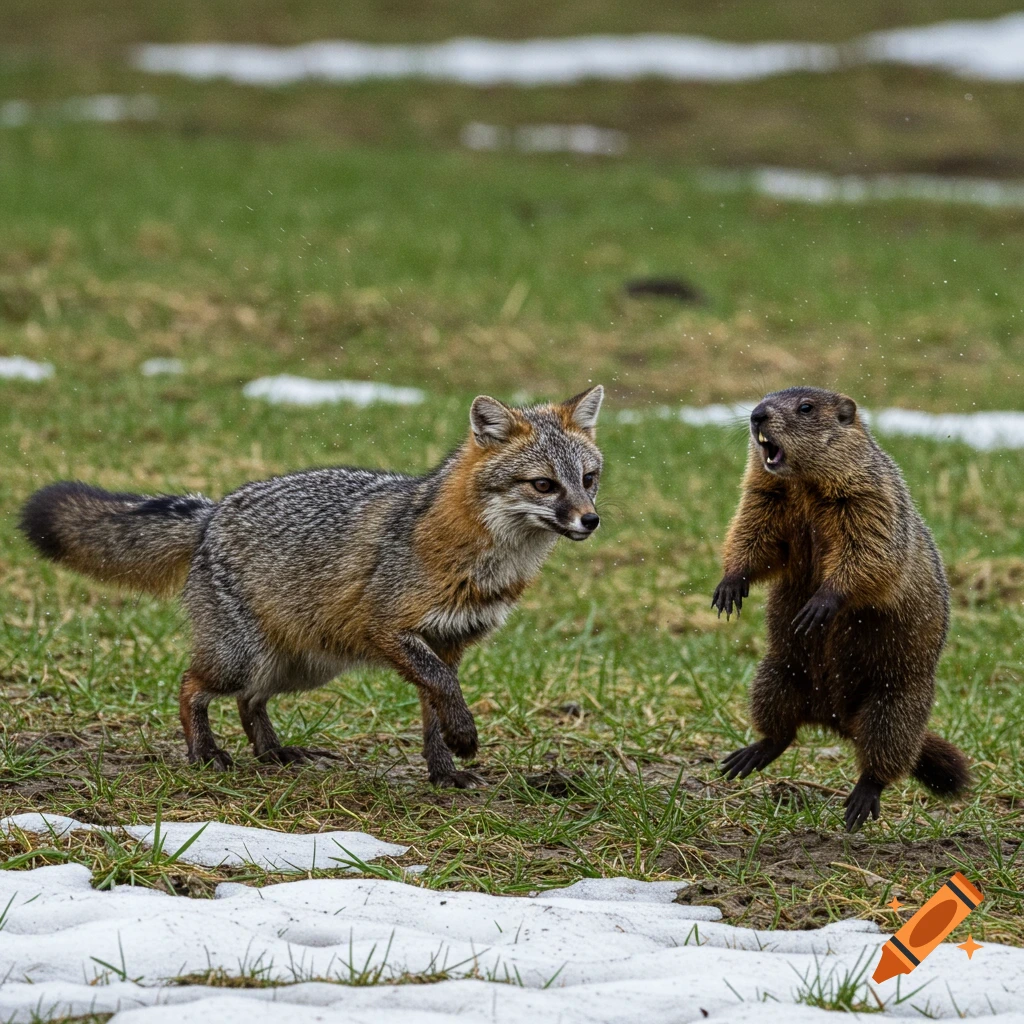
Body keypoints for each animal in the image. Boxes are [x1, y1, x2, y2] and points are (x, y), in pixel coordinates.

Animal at [19, 386, 605, 787]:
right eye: (544, 485)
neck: (477, 564)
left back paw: (273, 752)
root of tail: (213, 511)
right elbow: (443, 694)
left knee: (249, 703)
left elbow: (434, 712)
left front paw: (444, 772)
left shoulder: (448, 644)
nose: (591, 520)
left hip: (301, 667)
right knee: (190, 686)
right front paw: (465, 739)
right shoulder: (392, 631)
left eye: (588, 479)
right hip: (242, 659)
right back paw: (205, 754)